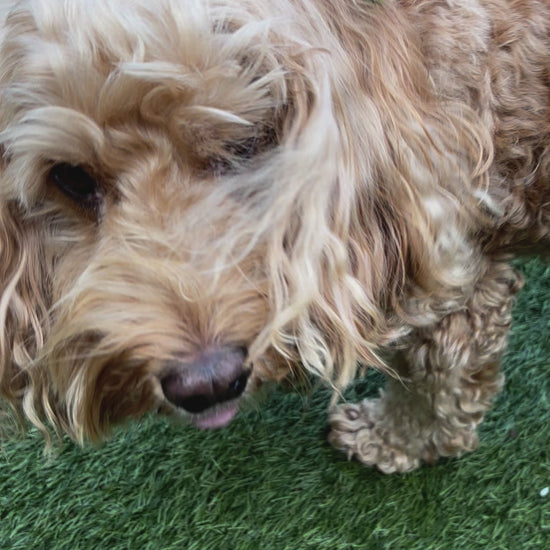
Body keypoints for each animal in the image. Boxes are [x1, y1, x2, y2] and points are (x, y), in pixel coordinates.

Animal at [0, 0, 548, 474]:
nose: (208, 383)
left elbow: (437, 384)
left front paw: (391, 439)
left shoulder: (455, 280)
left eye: (242, 142)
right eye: (70, 178)